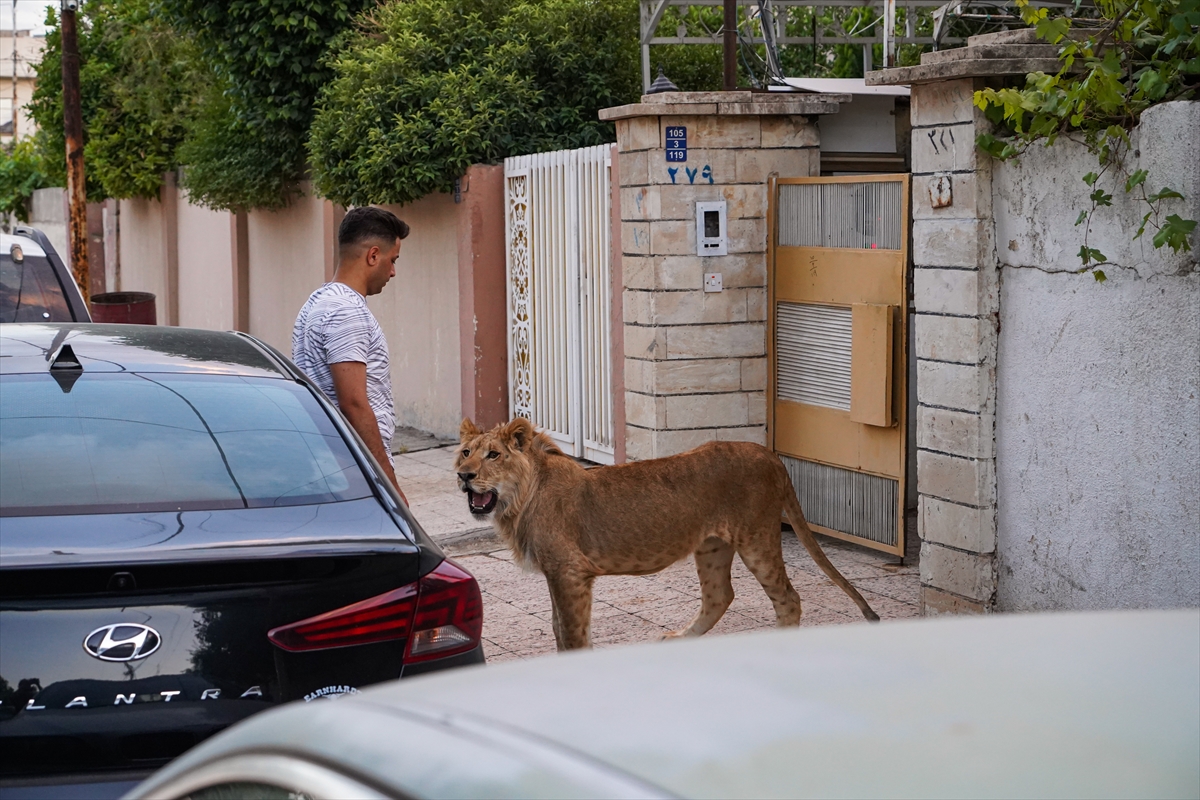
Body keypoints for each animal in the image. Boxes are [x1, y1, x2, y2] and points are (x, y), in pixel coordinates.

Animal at [453, 419, 878, 652]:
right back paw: (678, 640)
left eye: (493, 455)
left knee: (788, 598)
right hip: (712, 546)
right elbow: (560, 628)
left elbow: (571, 633)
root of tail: (770, 454)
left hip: (757, 538)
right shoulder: (559, 574)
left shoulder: (570, 572)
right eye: (465, 452)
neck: (518, 502)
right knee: (720, 596)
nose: (463, 476)